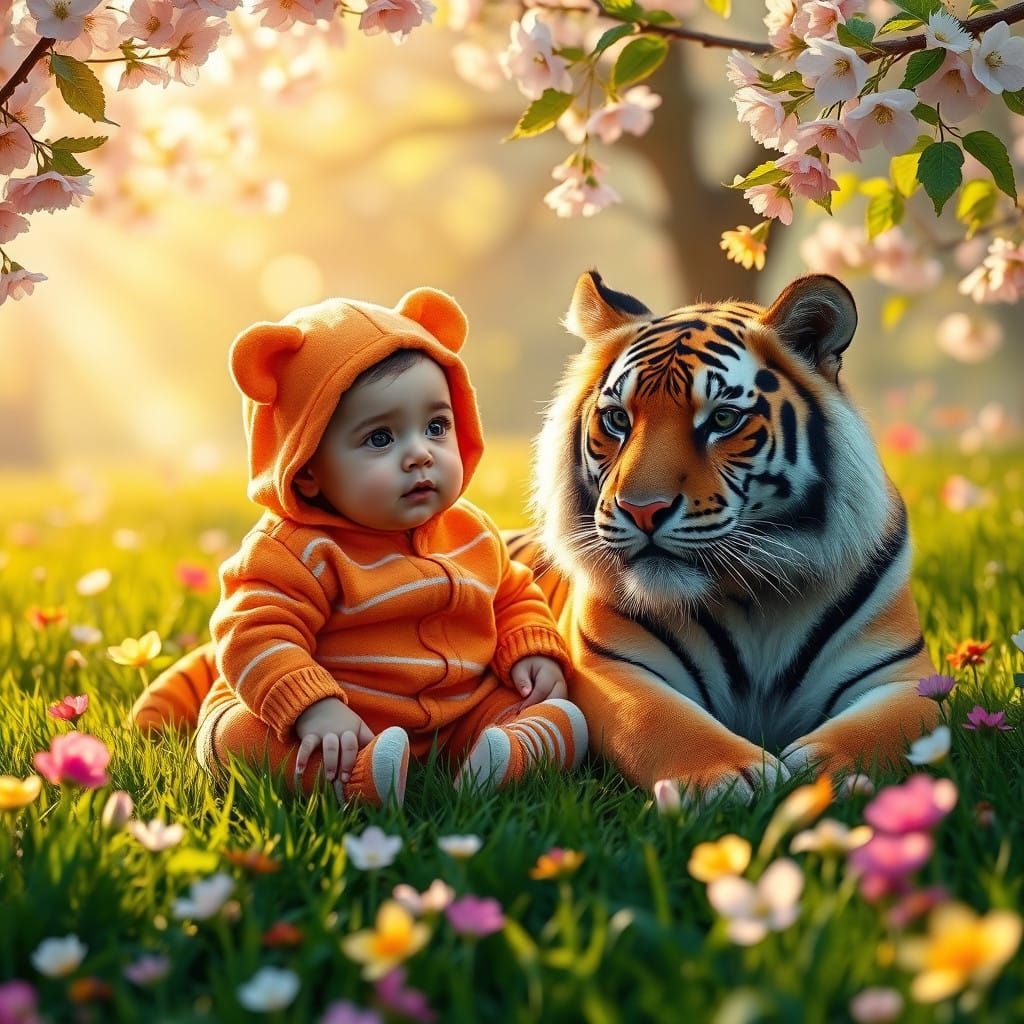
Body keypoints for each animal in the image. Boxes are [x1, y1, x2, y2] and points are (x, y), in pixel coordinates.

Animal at [506, 270, 939, 801]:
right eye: (618, 419)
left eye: (723, 419)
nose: (642, 510)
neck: (756, 596)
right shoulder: (608, 667)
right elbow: (661, 723)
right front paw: (736, 777)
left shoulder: (903, 677)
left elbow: (882, 731)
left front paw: (818, 773)